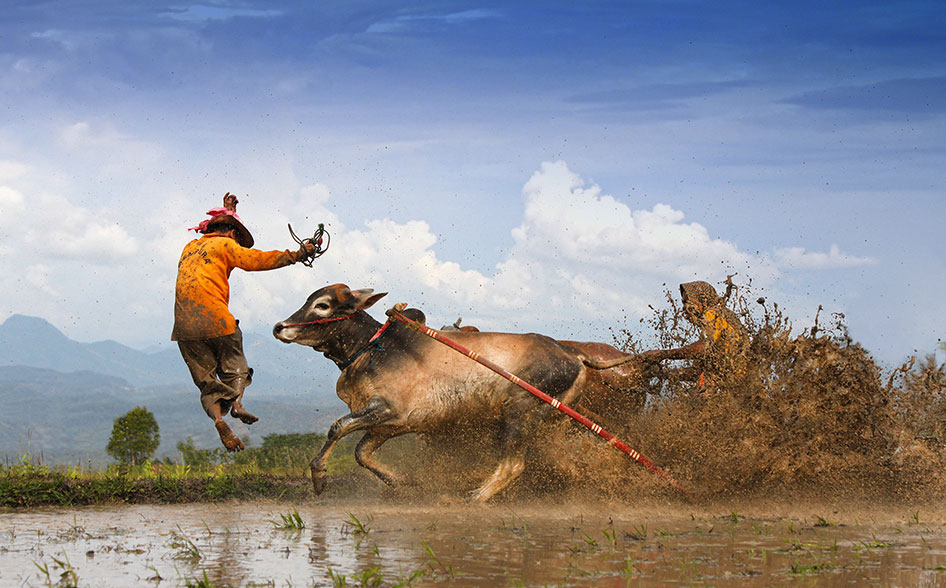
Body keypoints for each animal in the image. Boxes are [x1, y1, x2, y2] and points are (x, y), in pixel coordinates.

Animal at [272, 284, 648, 500]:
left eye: (322, 305)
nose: (279, 327)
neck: (372, 347)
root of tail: (573, 354)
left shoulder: (388, 410)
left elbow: (338, 428)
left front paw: (319, 477)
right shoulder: (390, 425)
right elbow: (362, 453)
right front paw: (403, 482)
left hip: (519, 413)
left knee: (513, 465)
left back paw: (474, 498)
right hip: (553, 421)